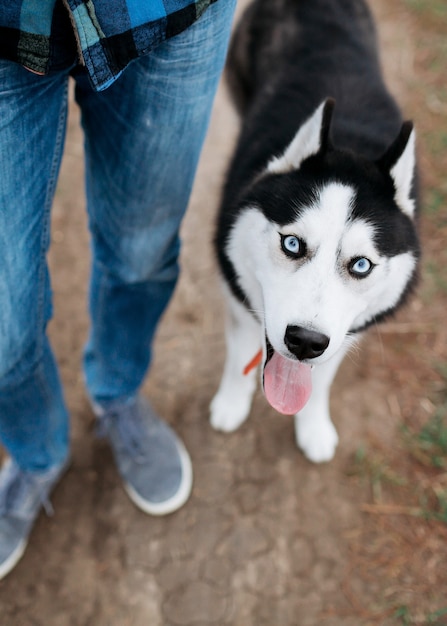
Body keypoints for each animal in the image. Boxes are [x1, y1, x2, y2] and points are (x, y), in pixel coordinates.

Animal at [210, 0, 420, 460]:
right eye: (292, 243)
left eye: (361, 265)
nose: (305, 342)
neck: (351, 145)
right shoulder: (236, 293)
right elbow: (238, 353)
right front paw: (232, 402)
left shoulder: (345, 331)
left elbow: (322, 378)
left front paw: (314, 427)